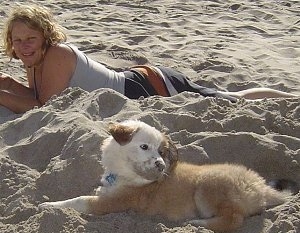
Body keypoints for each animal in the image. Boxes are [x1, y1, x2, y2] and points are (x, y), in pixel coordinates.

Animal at [38, 119, 292, 232]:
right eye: (145, 147)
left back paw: (198, 223)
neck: (124, 174)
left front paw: (49, 206)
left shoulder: (111, 203)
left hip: (208, 188)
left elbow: (79, 200)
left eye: (161, 152)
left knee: (233, 219)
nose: (160, 165)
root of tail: (260, 186)